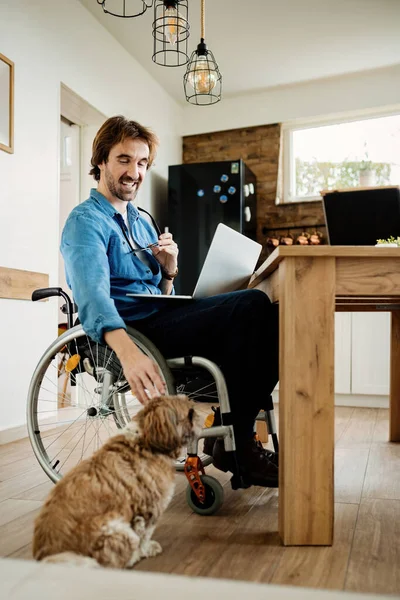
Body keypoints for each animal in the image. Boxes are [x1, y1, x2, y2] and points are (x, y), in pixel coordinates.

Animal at [32, 396, 200, 568]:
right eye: (190, 413)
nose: (200, 414)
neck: (145, 440)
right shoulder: (149, 508)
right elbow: (145, 535)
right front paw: (148, 548)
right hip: (116, 529)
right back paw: (134, 555)